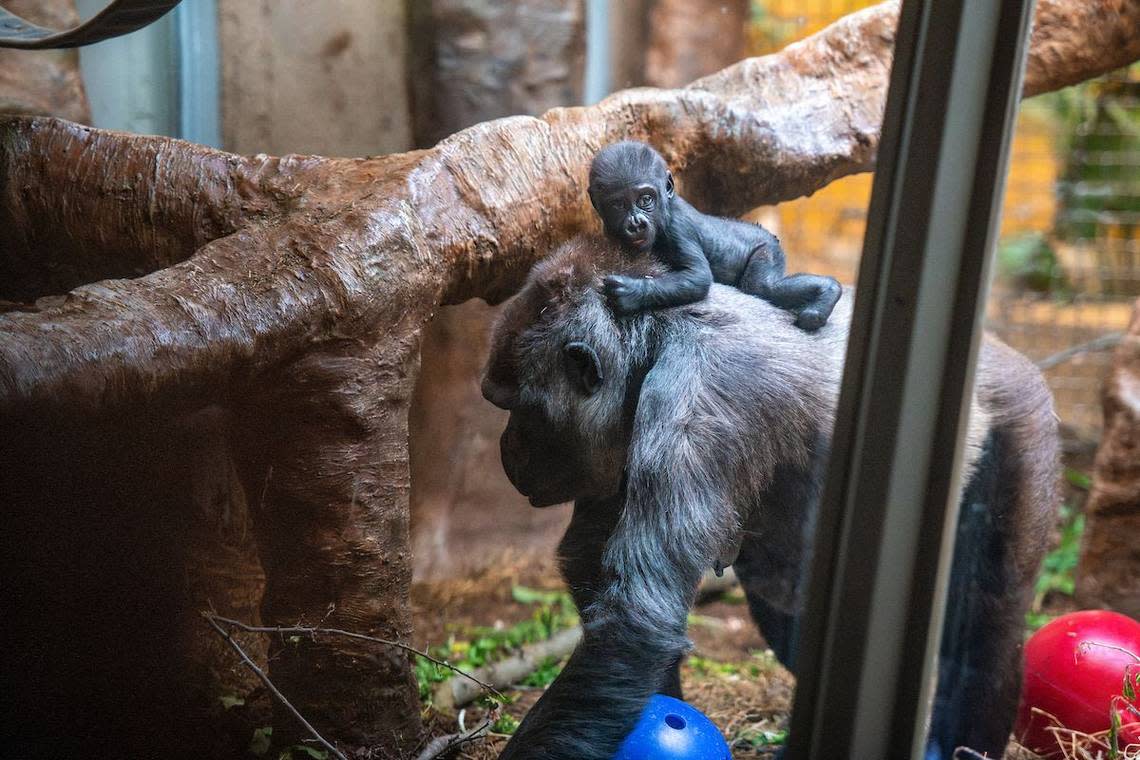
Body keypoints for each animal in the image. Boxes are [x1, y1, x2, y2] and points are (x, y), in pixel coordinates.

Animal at [481, 234, 1057, 756]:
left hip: (1023, 414)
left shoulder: (693, 406)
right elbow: (594, 567)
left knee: (989, 623)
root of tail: (1002, 349)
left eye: (517, 407)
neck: (658, 336)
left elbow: (635, 616)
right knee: (784, 602)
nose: (506, 450)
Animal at [592, 141, 843, 330]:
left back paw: (827, 291)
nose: (636, 224)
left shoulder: (678, 228)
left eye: (646, 199)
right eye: (618, 205)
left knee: (763, 286)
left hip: (768, 248)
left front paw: (631, 292)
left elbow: (698, 276)